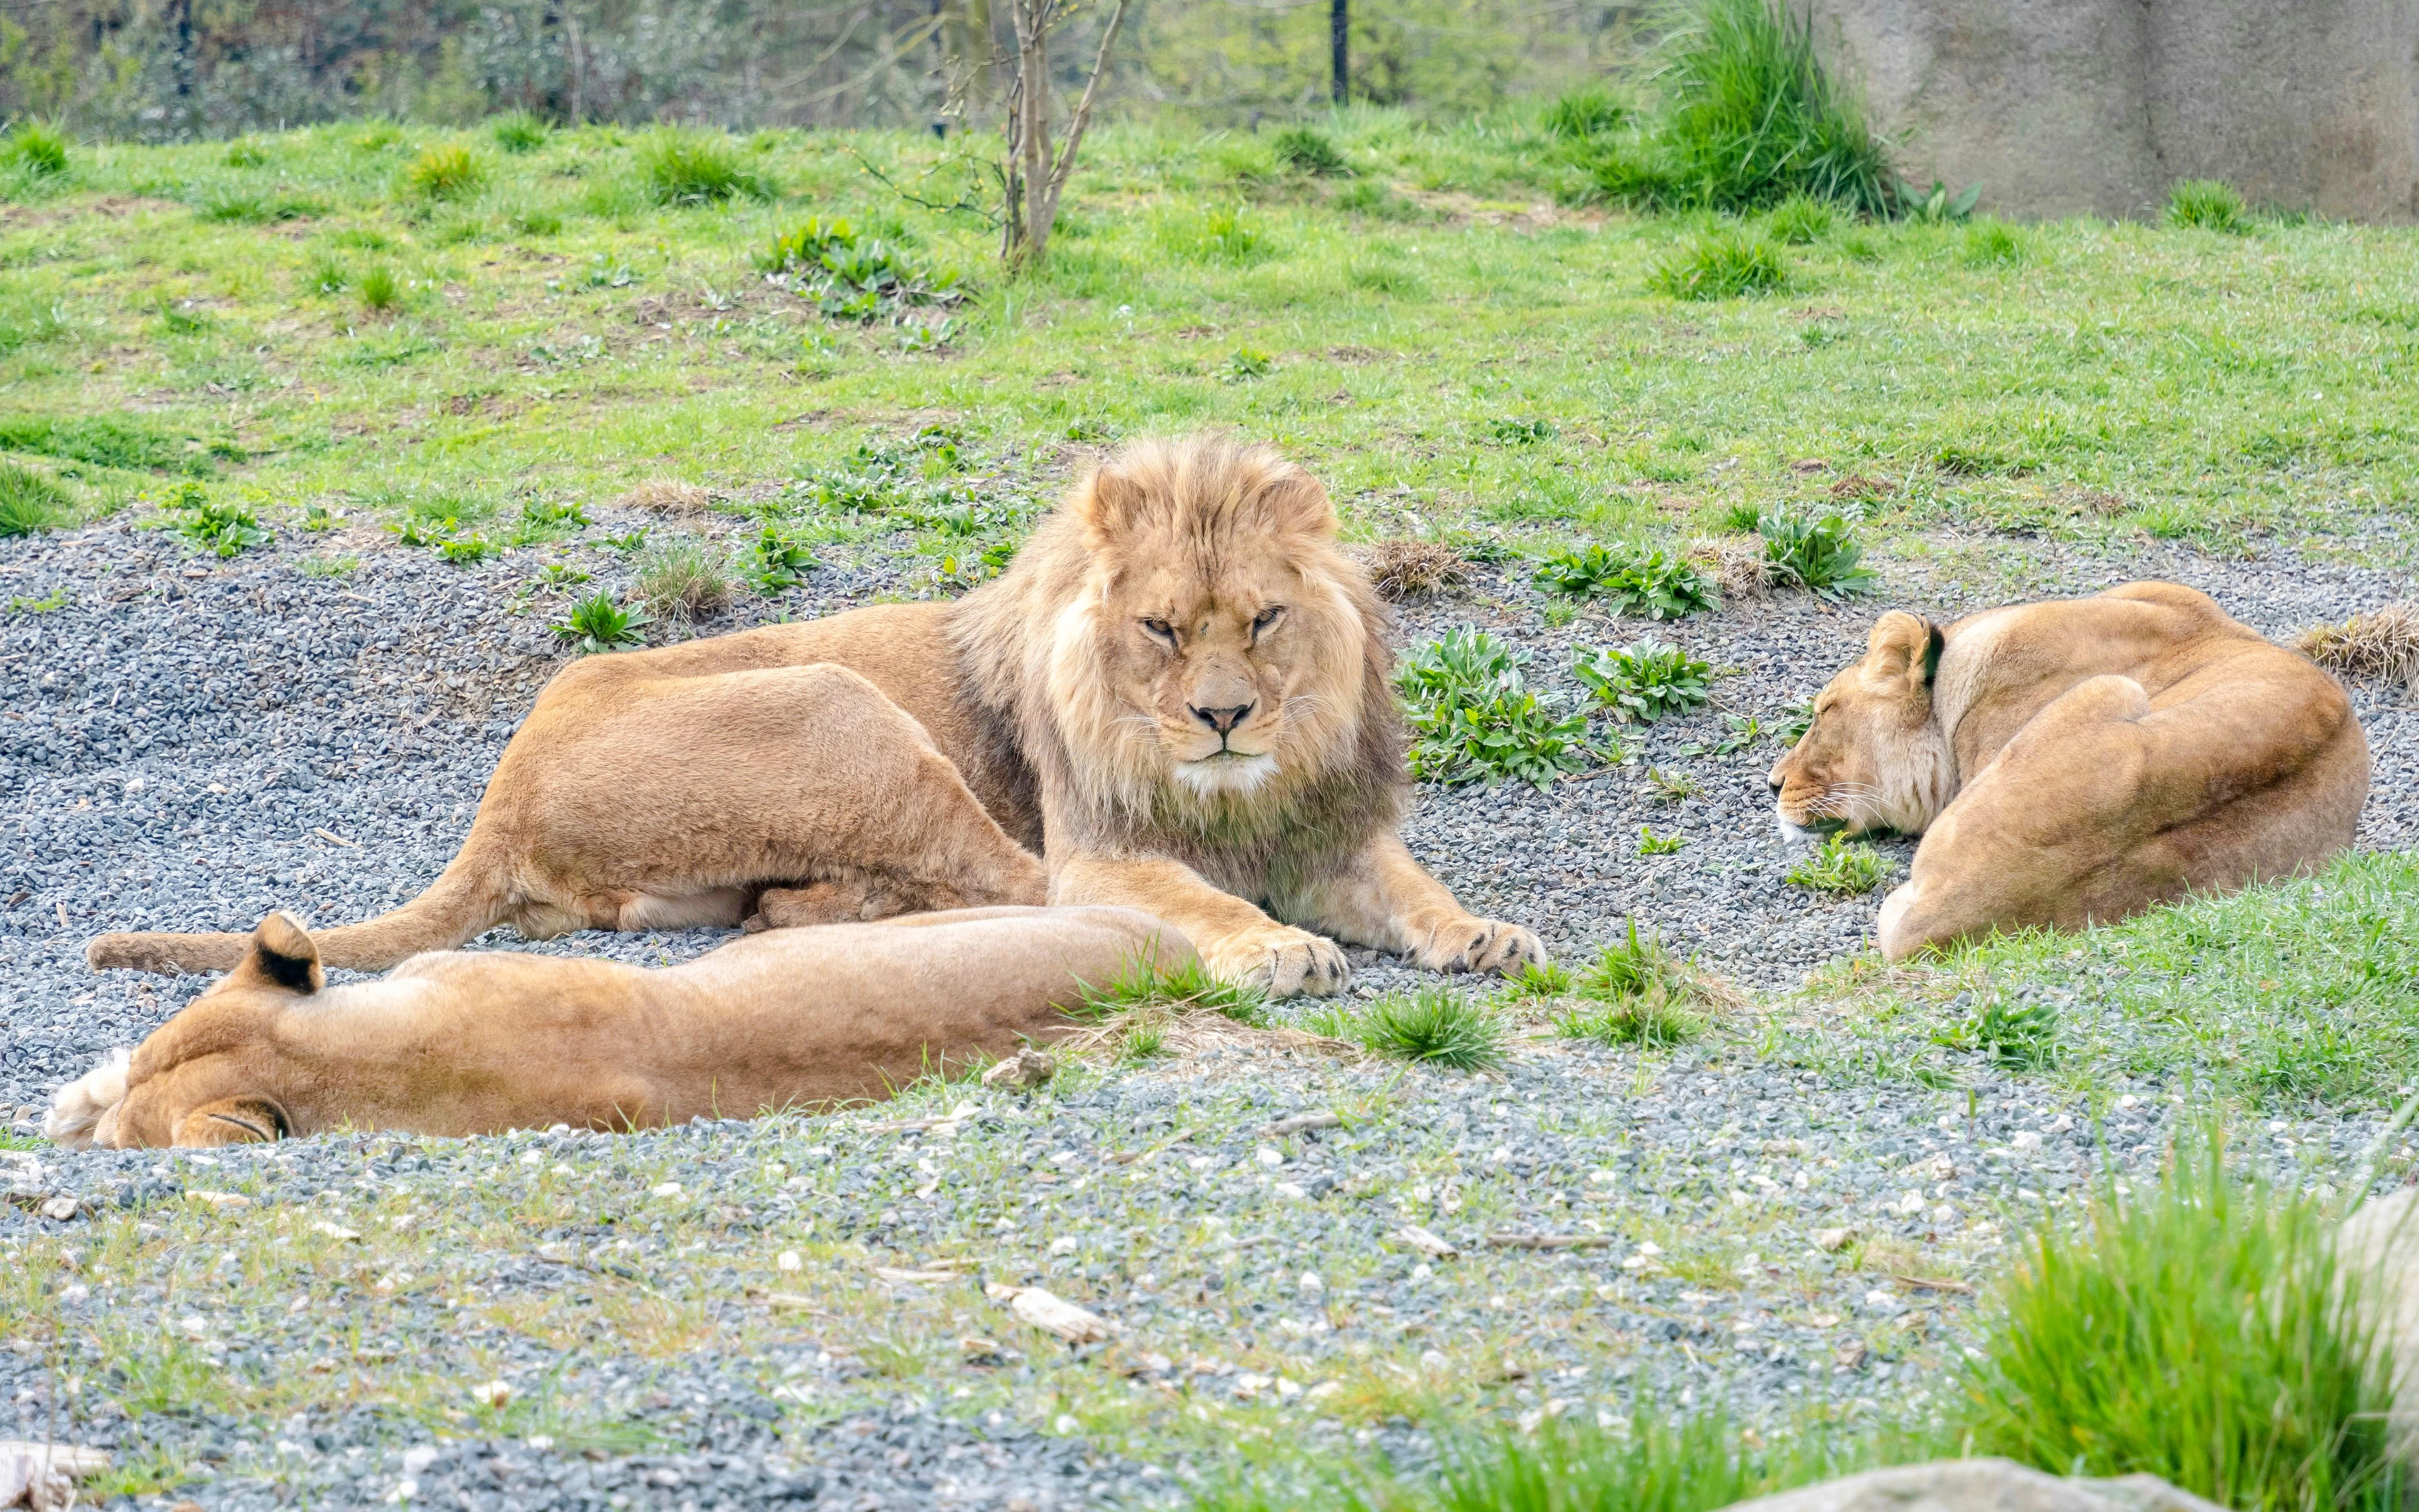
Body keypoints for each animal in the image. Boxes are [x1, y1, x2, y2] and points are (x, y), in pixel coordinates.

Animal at [87, 437, 1541, 997]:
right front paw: (1271, 945)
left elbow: (1413, 886)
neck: (1233, 793)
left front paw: (1484, 932)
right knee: (1001, 884)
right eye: (1162, 629)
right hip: (838, 700)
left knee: (798, 904)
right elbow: (1183, 891)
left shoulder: (1328, 833)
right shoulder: (1101, 839)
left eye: (1262, 619)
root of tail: (499, 792)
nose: (1227, 717)